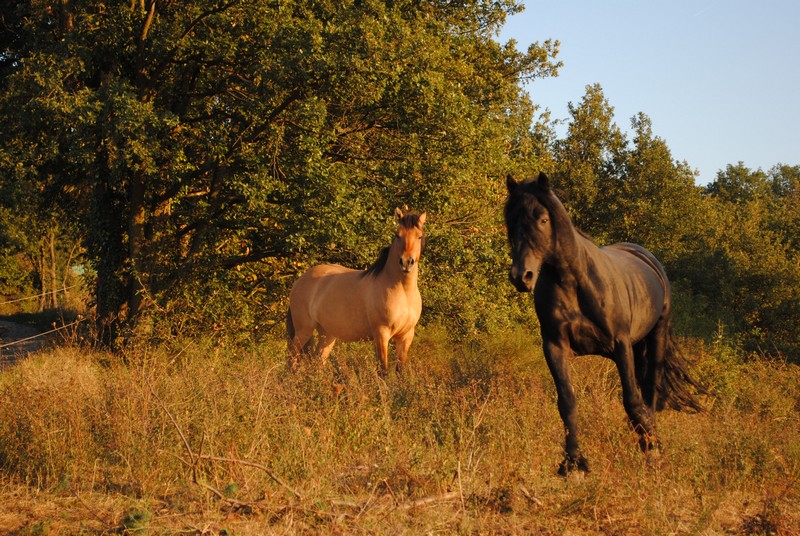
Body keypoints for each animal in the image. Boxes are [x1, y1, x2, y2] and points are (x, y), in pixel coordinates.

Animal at [288, 207, 424, 374]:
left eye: (419, 236)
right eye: (397, 235)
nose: (406, 262)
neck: (403, 291)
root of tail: (300, 281)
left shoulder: (406, 336)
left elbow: (400, 371)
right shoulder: (381, 334)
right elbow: (383, 370)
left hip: (327, 334)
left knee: (317, 363)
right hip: (303, 330)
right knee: (291, 359)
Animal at [504, 174, 704, 476]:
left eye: (542, 219)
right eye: (510, 222)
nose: (521, 276)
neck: (572, 282)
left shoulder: (620, 345)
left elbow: (632, 399)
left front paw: (653, 448)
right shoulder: (555, 346)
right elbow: (567, 401)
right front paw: (573, 463)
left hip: (656, 336)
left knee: (651, 390)